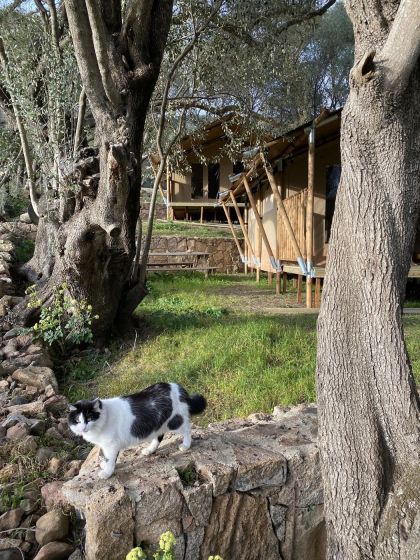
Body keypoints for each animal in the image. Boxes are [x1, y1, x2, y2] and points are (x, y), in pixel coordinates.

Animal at [68, 382, 207, 480]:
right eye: (77, 420)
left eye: (89, 418)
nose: (83, 427)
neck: (105, 416)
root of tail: (178, 387)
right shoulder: (106, 445)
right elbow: (106, 456)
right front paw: (106, 465)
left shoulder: (110, 444)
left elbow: (109, 458)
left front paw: (107, 472)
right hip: (158, 424)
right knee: (159, 436)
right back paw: (149, 450)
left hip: (174, 421)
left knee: (187, 428)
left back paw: (186, 445)